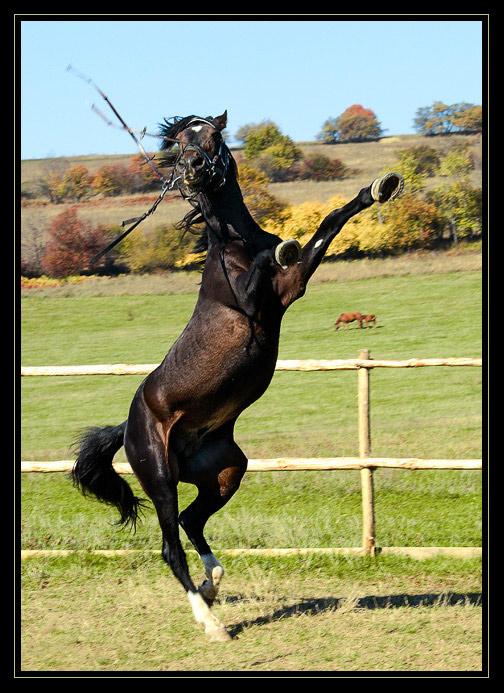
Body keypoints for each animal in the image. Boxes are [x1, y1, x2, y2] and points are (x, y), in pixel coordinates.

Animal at [71, 111, 403, 642]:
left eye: (213, 136)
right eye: (178, 142)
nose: (190, 170)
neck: (235, 243)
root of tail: (126, 427)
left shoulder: (291, 289)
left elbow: (330, 222)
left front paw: (380, 187)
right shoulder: (252, 300)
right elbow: (284, 253)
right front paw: (285, 244)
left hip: (226, 472)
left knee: (192, 521)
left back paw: (213, 586)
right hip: (159, 477)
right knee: (170, 545)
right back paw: (211, 622)